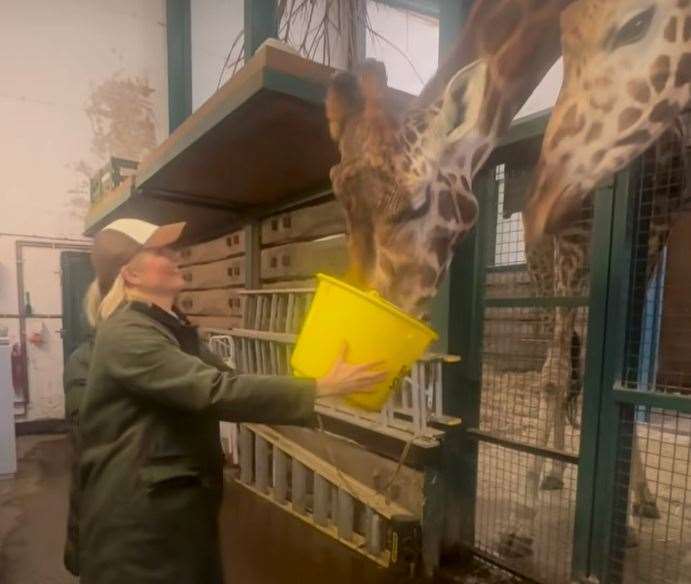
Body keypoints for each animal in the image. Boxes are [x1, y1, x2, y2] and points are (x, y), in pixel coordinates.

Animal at [506, 0, 688, 560]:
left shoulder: (649, 244)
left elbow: (618, 377)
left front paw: (627, 513)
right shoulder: (568, 246)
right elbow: (555, 376)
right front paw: (521, 524)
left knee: (580, 359)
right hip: (546, 272)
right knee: (559, 362)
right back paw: (550, 474)